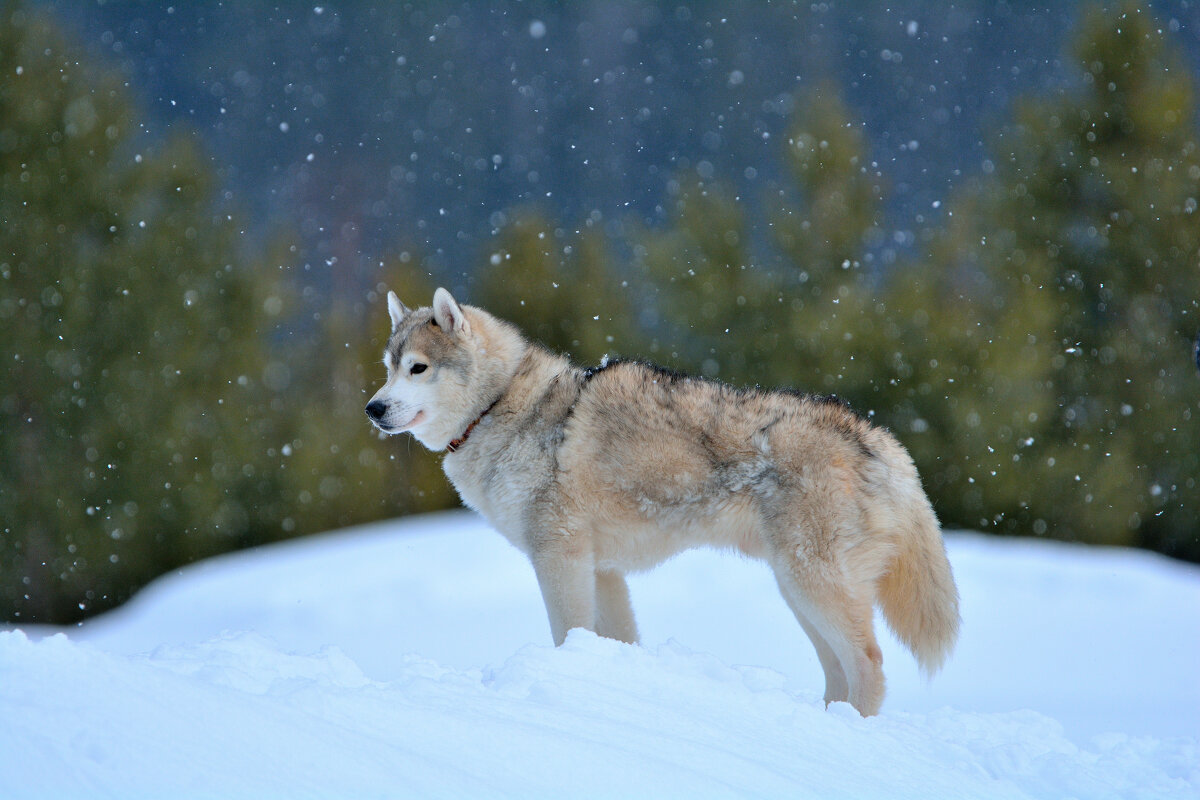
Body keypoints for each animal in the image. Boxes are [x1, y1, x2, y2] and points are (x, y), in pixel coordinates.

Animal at [360, 287, 960, 714]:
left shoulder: (560, 558)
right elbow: (617, 640)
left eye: (418, 367)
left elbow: (567, 636)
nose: (373, 408)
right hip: (799, 593)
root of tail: (884, 441)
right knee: (840, 671)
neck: (500, 405)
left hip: (814, 586)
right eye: (388, 367)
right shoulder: (603, 571)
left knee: (870, 665)